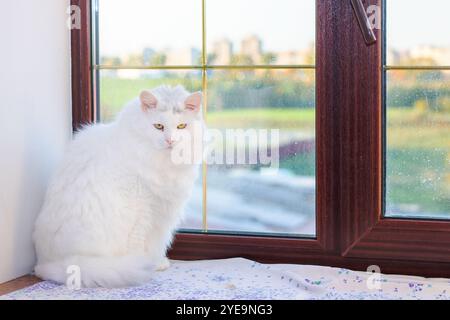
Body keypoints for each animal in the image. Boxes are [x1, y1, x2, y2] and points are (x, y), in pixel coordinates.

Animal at [31, 84, 200, 288]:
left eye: (181, 126)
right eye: (159, 126)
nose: (171, 141)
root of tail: (46, 263)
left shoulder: (163, 212)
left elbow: (157, 243)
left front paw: (158, 262)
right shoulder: (144, 211)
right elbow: (142, 244)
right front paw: (149, 264)